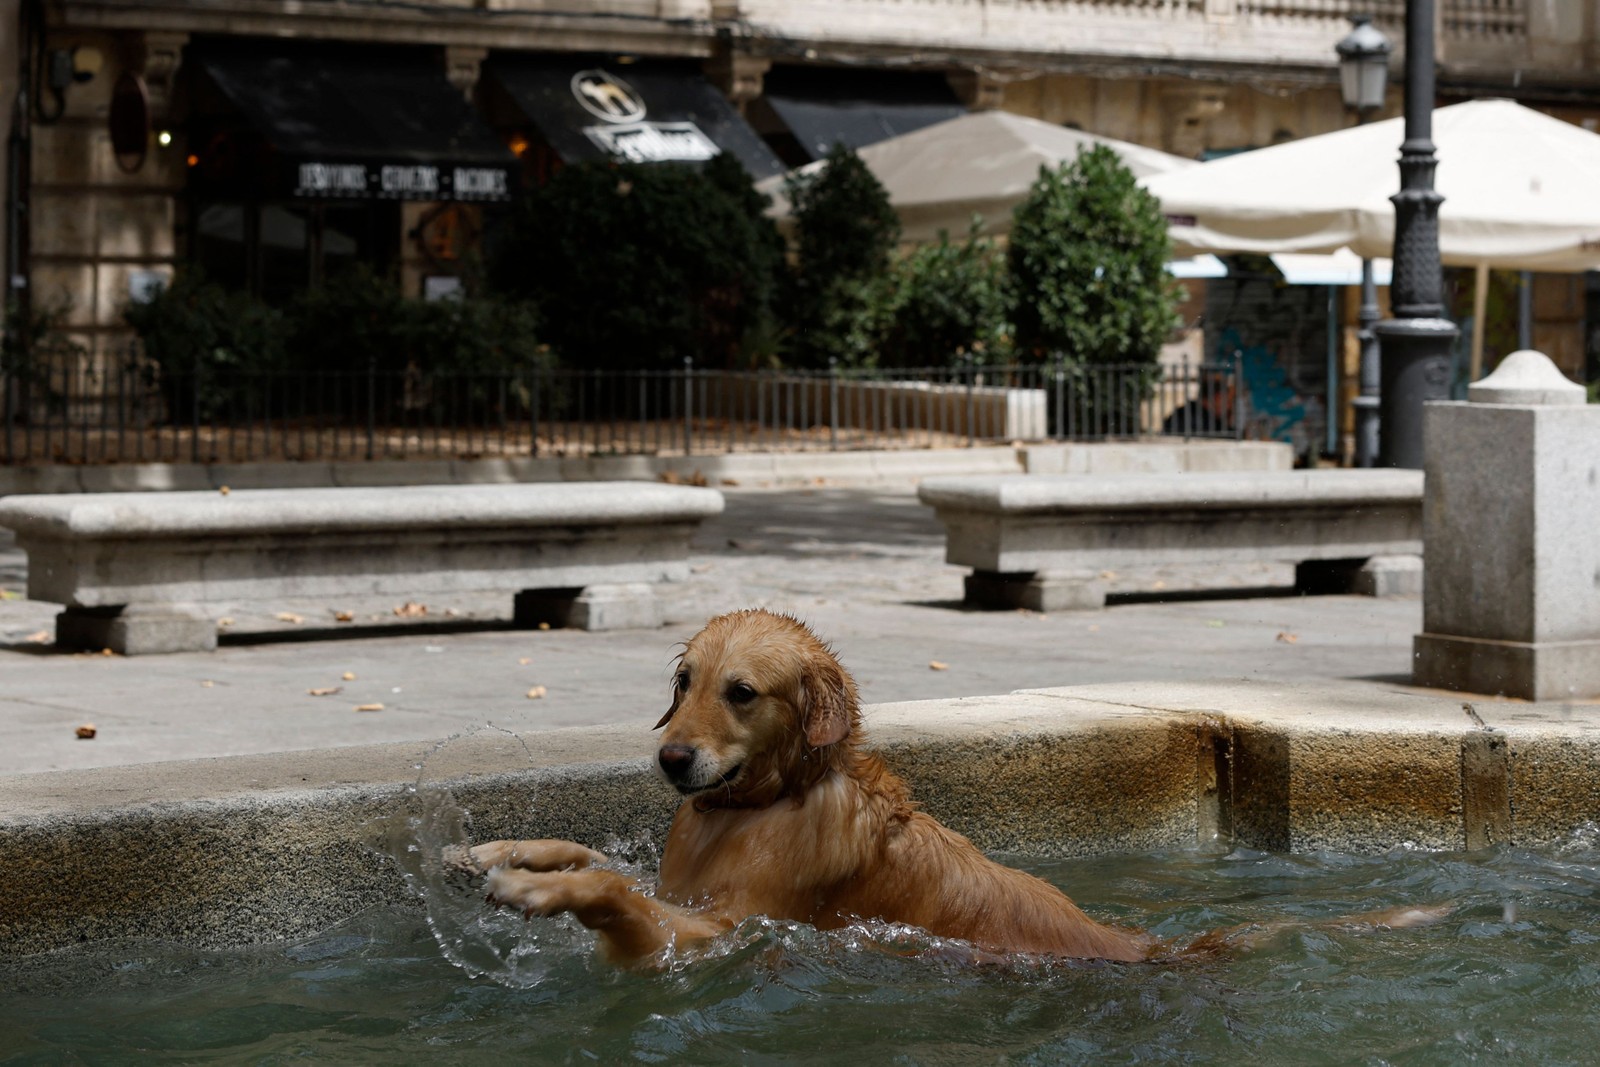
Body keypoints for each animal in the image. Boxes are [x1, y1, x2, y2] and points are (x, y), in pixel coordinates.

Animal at [451, 607, 1440, 966]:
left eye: (742, 691)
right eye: (683, 681)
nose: (670, 762)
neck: (764, 802)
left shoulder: (719, 927)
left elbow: (611, 886)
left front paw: (536, 890)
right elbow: (588, 848)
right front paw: (494, 849)